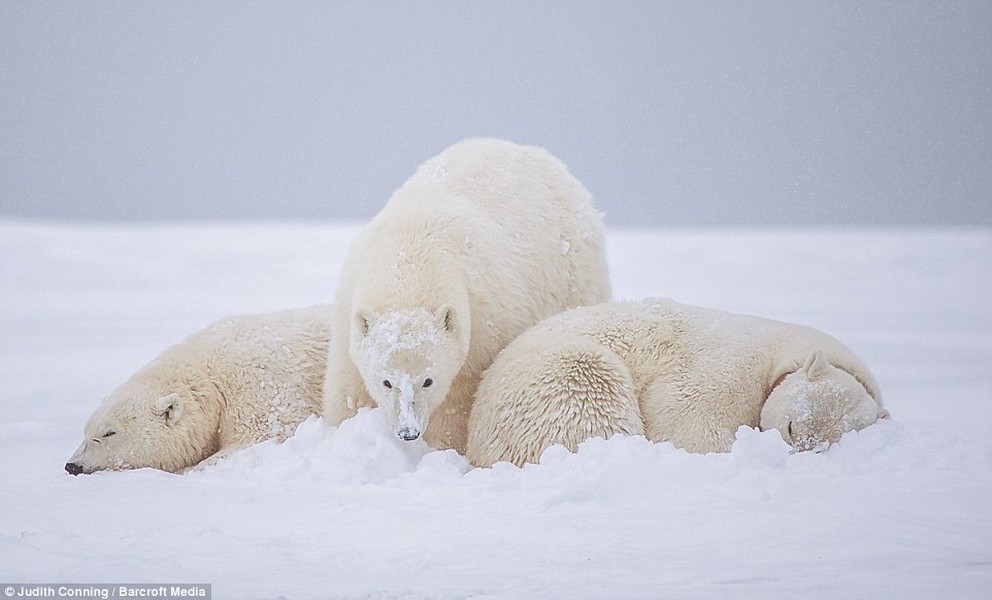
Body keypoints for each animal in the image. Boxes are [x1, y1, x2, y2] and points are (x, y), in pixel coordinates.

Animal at [65, 308, 334, 476]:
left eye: (109, 432)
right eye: (86, 431)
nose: (73, 466)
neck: (210, 377)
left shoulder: (259, 384)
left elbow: (266, 432)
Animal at [326, 138, 608, 452]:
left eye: (428, 380)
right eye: (387, 382)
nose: (408, 432)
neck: (410, 253)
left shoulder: (483, 322)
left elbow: (458, 402)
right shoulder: (350, 305)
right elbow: (347, 387)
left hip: (576, 275)